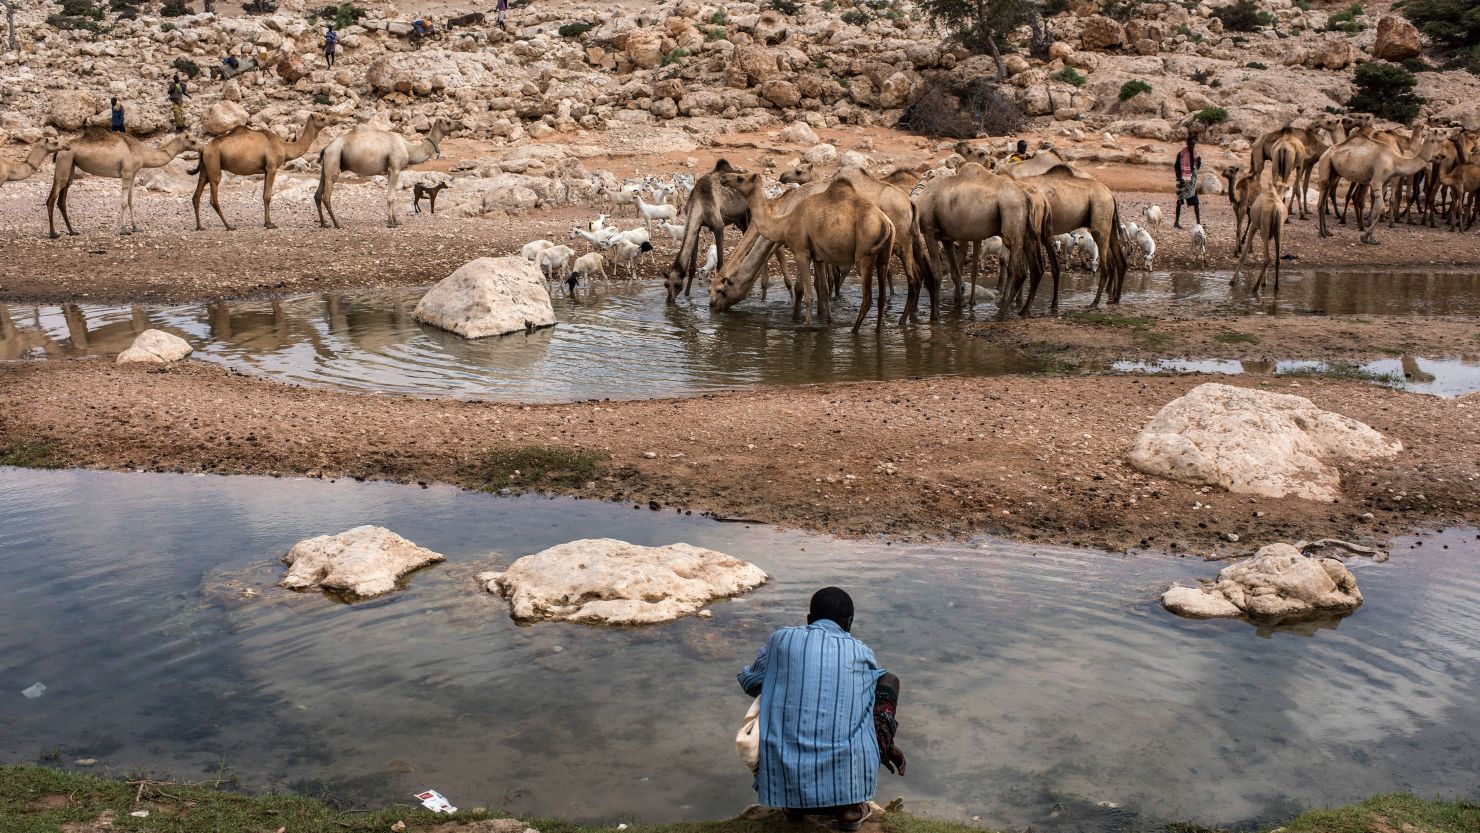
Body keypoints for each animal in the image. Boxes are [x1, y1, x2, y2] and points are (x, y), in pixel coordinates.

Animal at [46, 128, 202, 238]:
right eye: (193, 141)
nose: (201, 148)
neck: (143, 153)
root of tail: (60, 150)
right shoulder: (126, 173)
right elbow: (124, 203)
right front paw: (123, 229)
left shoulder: (133, 174)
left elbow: (131, 201)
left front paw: (136, 227)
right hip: (64, 160)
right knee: (51, 199)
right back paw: (53, 234)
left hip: (71, 164)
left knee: (62, 199)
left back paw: (72, 231)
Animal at [190, 112, 330, 230]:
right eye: (322, 118)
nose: (331, 121)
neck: (284, 147)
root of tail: (204, 149)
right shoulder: (272, 167)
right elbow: (268, 196)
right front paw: (270, 224)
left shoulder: (266, 170)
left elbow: (264, 195)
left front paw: (266, 222)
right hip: (213, 162)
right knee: (214, 195)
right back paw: (229, 226)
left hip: (205, 168)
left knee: (196, 195)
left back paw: (200, 226)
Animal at [312, 117, 449, 227]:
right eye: (448, 122)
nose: (455, 124)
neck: (408, 149)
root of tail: (326, 148)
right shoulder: (395, 168)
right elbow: (391, 196)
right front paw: (391, 223)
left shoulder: (390, 171)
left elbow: (391, 195)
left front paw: (396, 221)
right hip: (334, 157)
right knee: (326, 196)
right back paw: (337, 224)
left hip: (326, 165)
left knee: (318, 194)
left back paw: (324, 224)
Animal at [666, 158, 751, 304]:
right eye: (666, 284)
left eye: (677, 284)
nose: (669, 300)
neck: (699, 203)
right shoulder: (697, 226)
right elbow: (692, 267)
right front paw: (687, 296)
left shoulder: (718, 226)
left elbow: (720, 264)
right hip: (740, 220)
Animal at [713, 170, 888, 331]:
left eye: (720, 290)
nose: (713, 306)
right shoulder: (812, 252)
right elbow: (820, 287)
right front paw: (822, 318)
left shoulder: (801, 250)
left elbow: (801, 288)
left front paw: (799, 319)